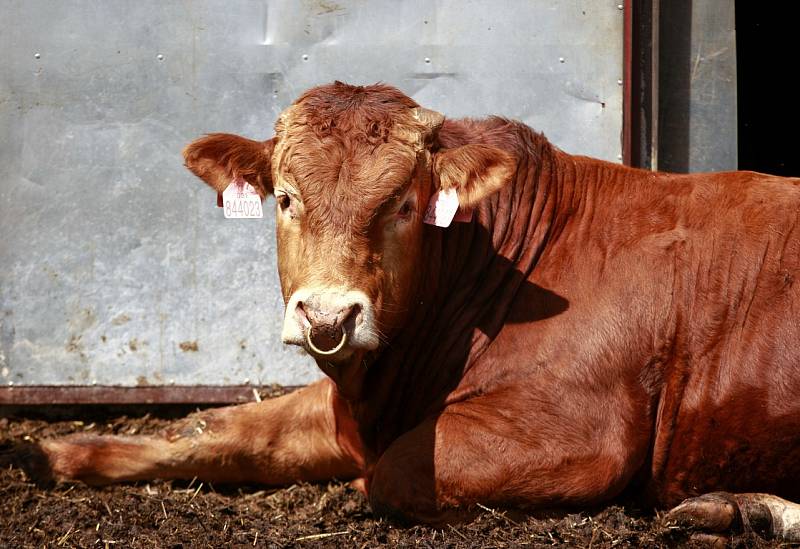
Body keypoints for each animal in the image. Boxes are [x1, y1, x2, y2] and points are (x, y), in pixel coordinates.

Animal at [14, 81, 800, 540]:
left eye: (399, 205)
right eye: (286, 198)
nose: (328, 318)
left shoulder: (579, 430)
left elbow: (390, 473)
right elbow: (217, 430)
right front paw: (49, 451)